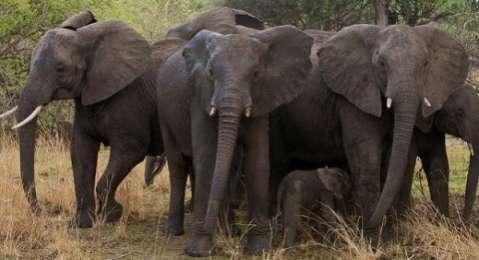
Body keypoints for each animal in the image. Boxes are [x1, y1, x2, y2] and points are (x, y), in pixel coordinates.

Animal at [158, 24, 316, 256]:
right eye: (211, 73)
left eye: (256, 74)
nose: (208, 229)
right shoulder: (200, 98)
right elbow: (208, 159)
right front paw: (198, 250)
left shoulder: (262, 99)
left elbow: (258, 161)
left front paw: (258, 250)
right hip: (164, 114)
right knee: (178, 165)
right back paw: (174, 232)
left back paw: (230, 231)